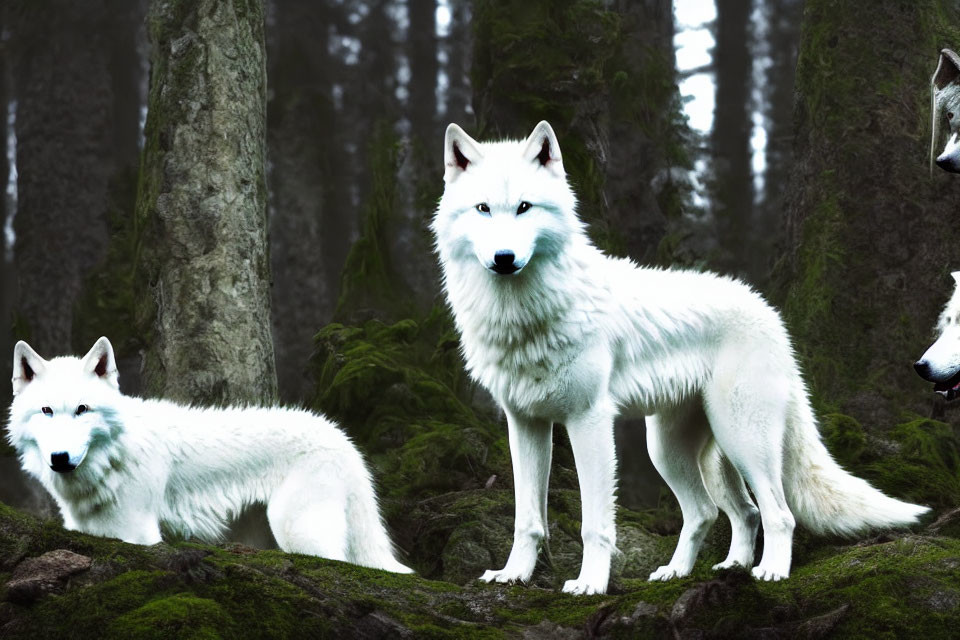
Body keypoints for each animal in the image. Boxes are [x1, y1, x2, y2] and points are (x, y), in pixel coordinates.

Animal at [6, 338, 412, 572]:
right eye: (46, 411)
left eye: (82, 409)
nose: (60, 458)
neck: (114, 457)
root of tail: (341, 438)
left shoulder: (136, 535)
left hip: (299, 534)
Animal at [436, 119, 928, 596]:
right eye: (483, 209)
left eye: (524, 207)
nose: (504, 258)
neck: (524, 313)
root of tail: (769, 314)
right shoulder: (524, 423)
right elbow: (527, 520)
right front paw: (513, 576)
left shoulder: (588, 419)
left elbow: (595, 524)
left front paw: (590, 584)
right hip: (672, 450)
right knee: (722, 512)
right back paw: (700, 570)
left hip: (742, 440)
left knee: (776, 513)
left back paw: (769, 572)